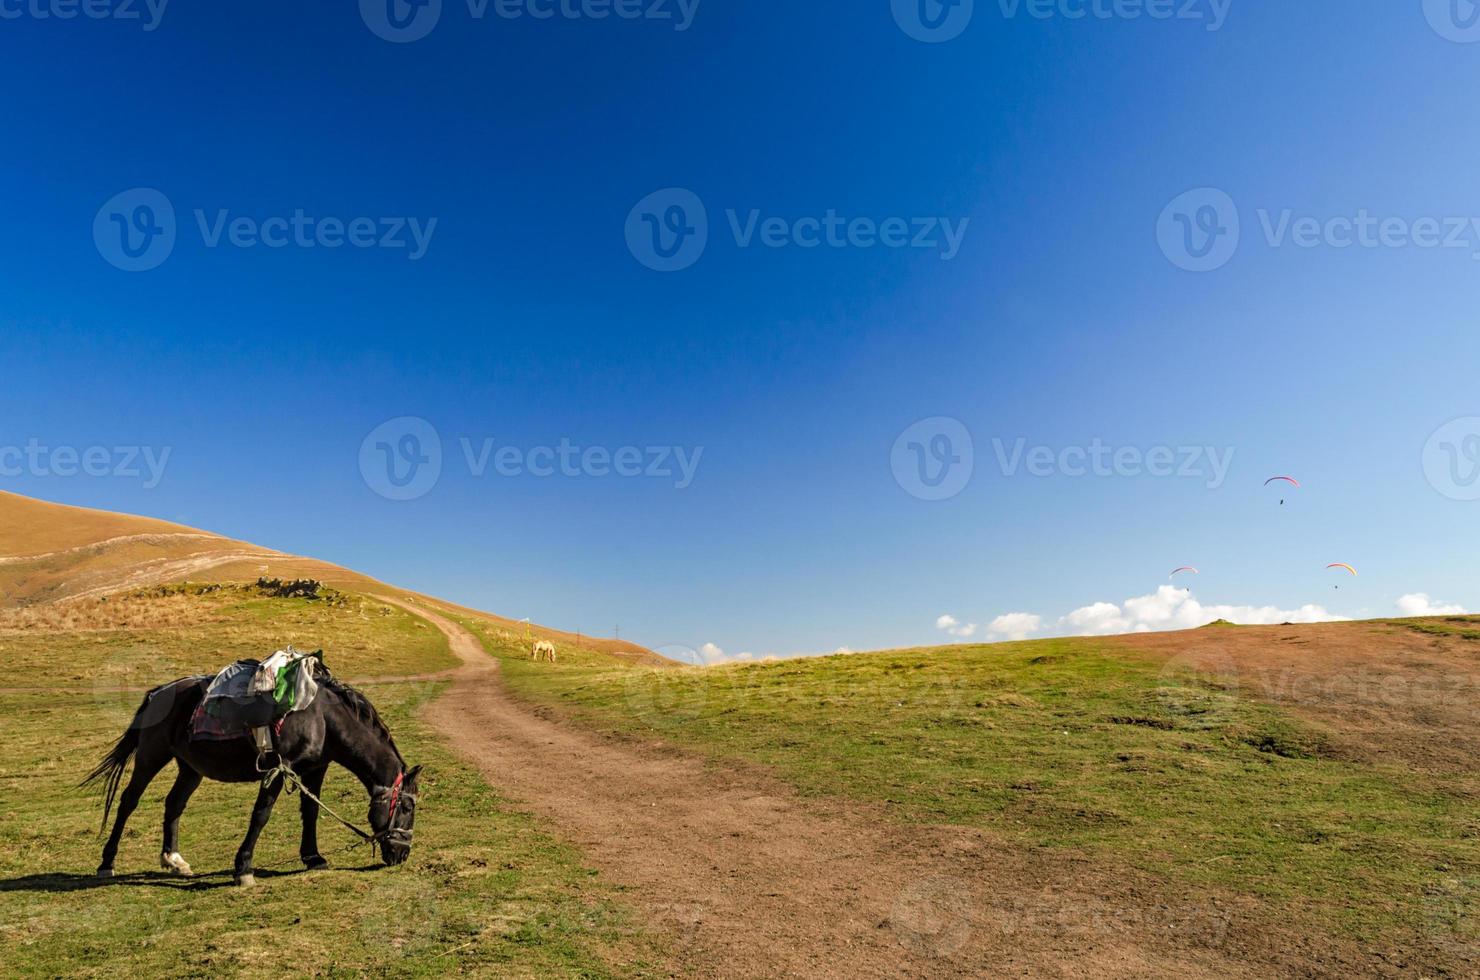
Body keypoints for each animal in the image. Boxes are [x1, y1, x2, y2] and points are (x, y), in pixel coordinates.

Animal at [85, 672, 423, 888]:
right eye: (407, 808)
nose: (402, 854)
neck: (324, 719)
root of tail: (159, 692)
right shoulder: (280, 768)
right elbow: (261, 814)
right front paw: (243, 868)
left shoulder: (315, 769)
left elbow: (311, 812)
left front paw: (313, 857)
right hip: (151, 756)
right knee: (128, 801)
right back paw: (107, 863)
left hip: (190, 767)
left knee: (174, 804)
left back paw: (175, 860)